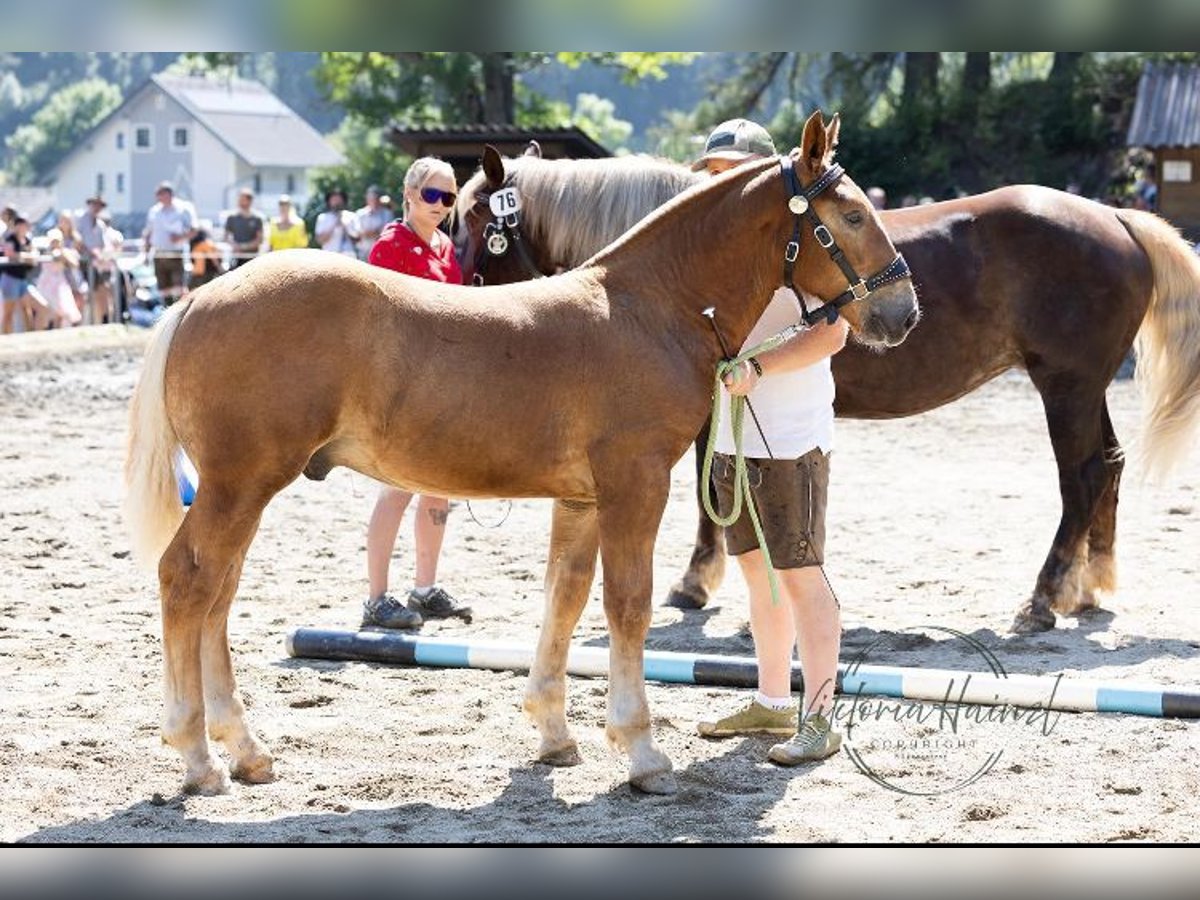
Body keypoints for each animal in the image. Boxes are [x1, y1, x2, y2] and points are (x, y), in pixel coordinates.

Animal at [124, 112, 916, 796]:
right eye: (851, 216)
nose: (901, 312)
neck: (647, 308)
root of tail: (196, 299)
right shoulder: (635, 485)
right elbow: (625, 604)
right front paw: (641, 751)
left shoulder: (582, 497)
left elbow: (565, 594)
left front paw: (554, 733)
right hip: (239, 485)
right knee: (187, 580)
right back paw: (197, 757)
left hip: (245, 490)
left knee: (218, 592)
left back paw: (244, 750)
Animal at [456, 146, 1200, 633]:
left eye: (478, 229)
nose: (459, 292)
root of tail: (1117, 218)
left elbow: (706, 485)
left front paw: (695, 579)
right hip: (1085, 388)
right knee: (1109, 466)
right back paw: (1088, 588)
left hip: (1065, 386)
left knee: (1081, 476)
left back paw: (1045, 596)